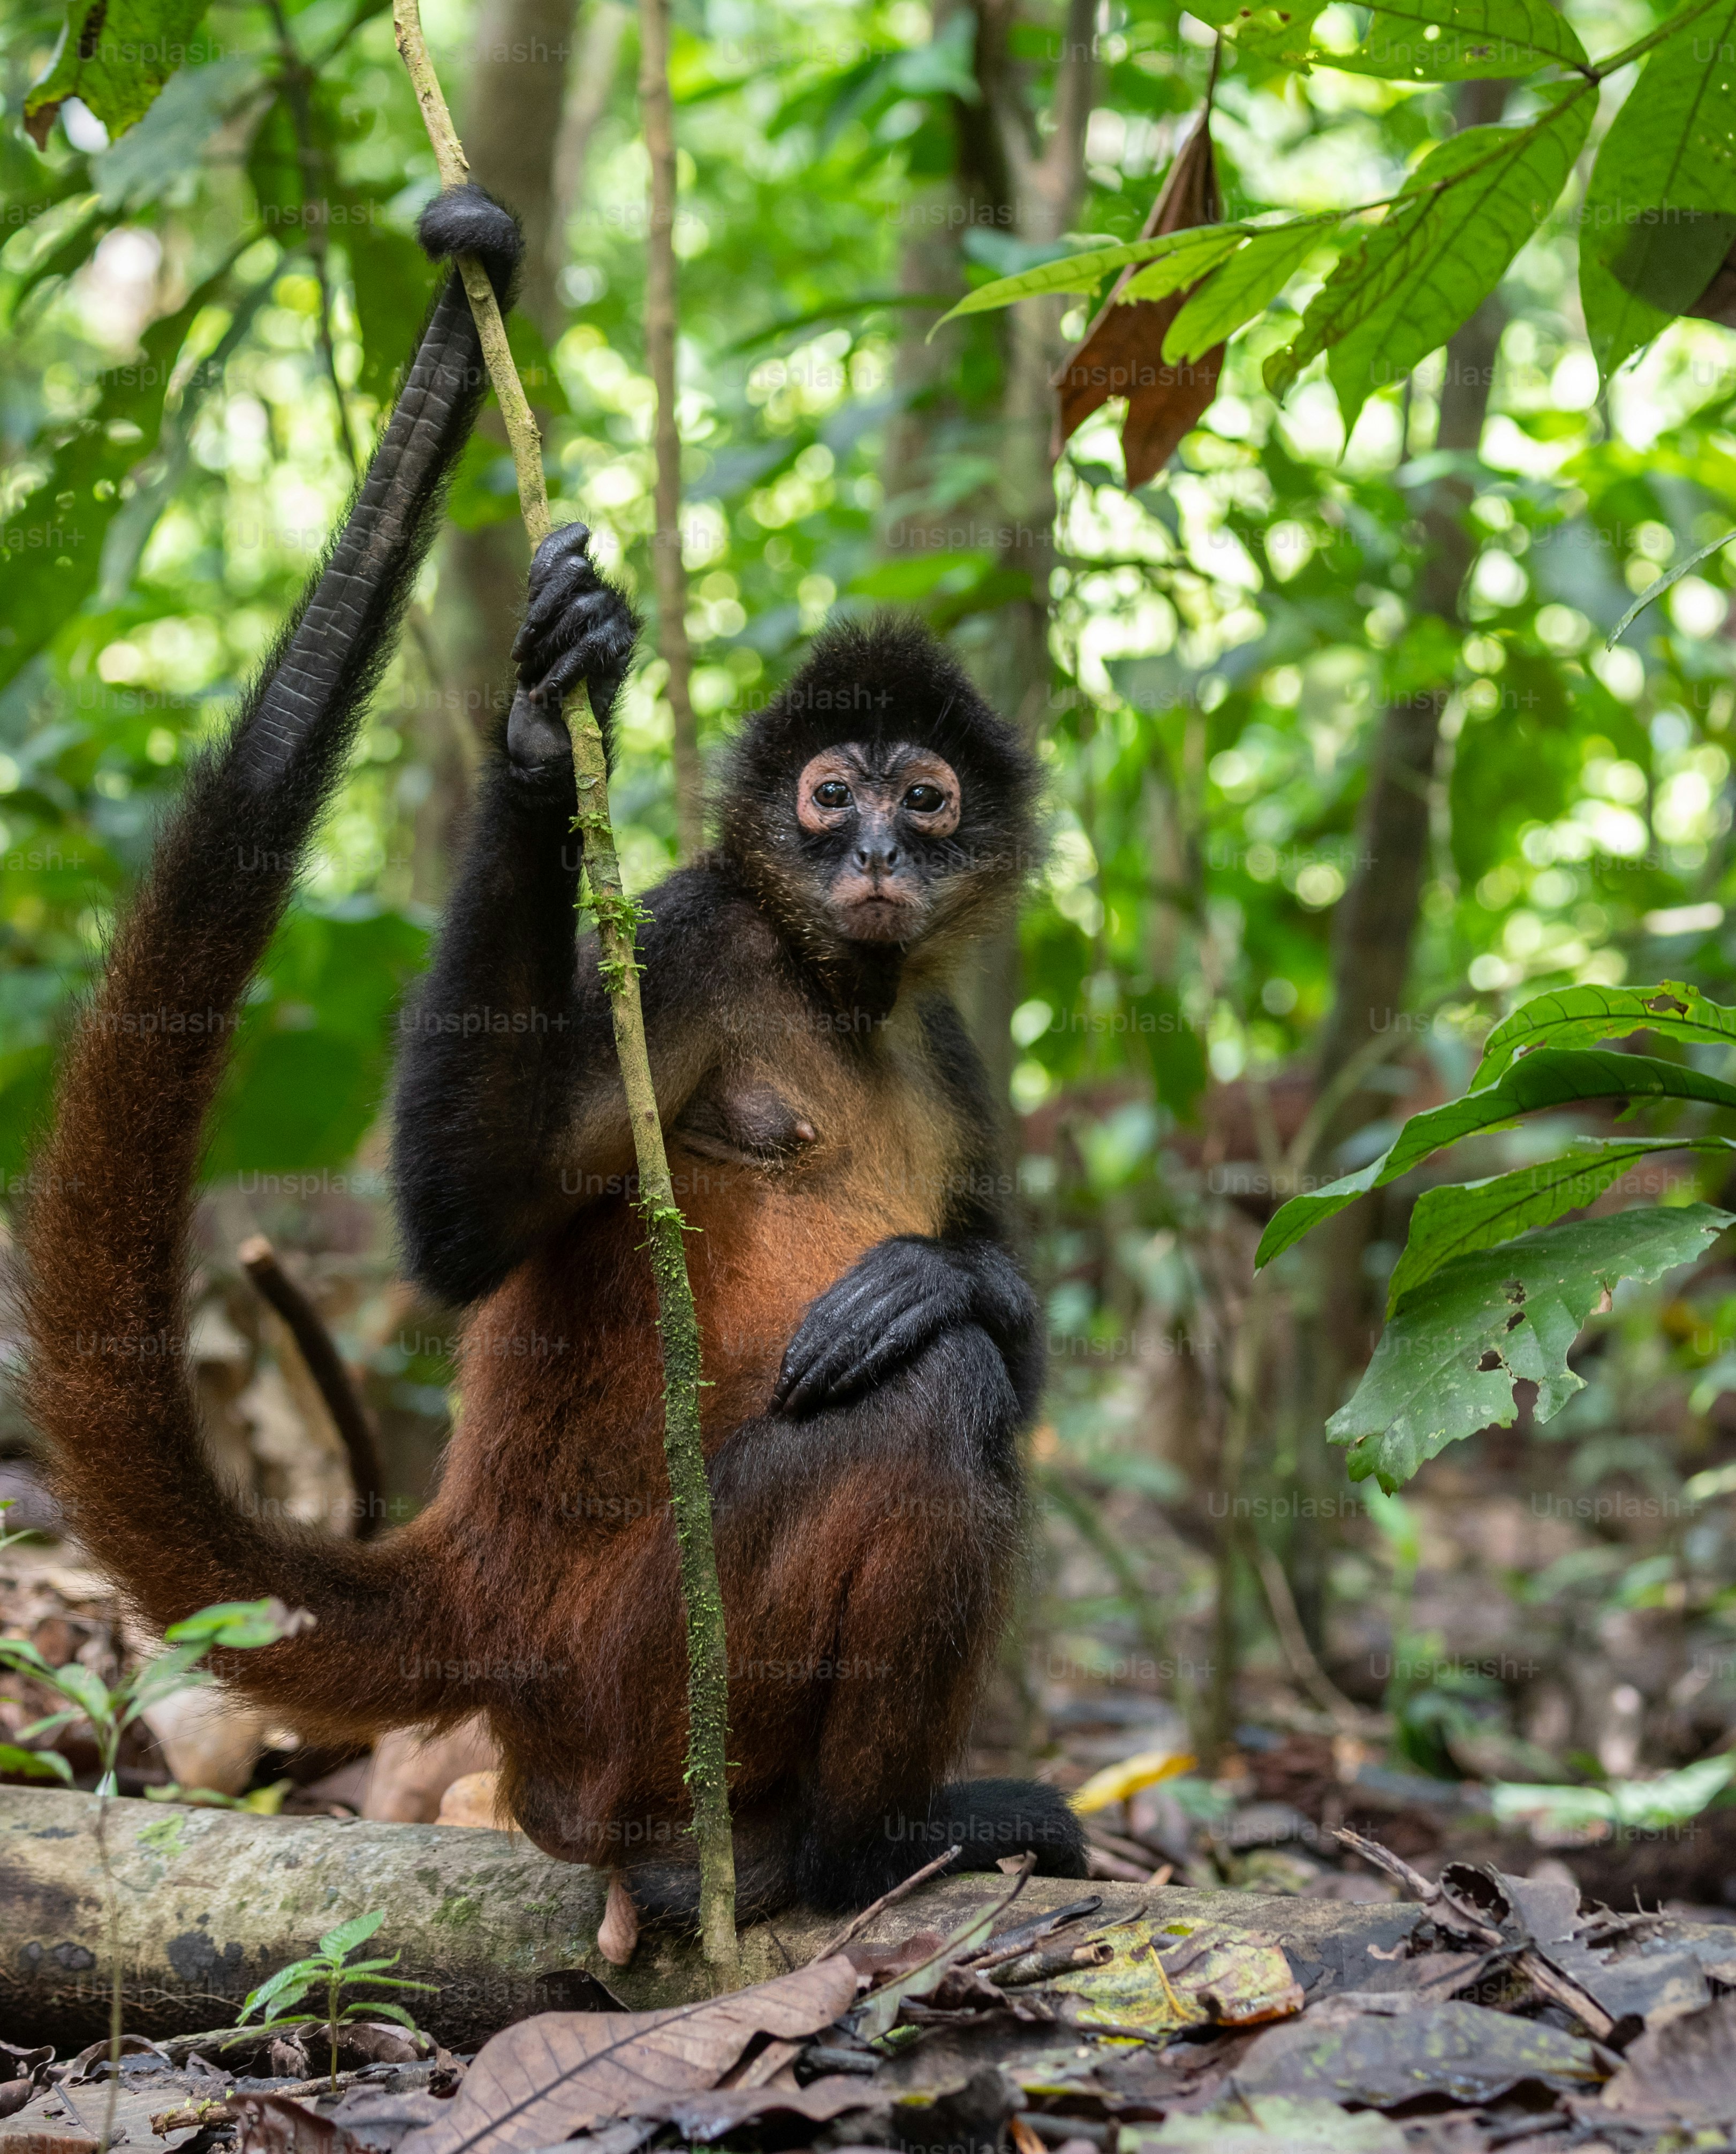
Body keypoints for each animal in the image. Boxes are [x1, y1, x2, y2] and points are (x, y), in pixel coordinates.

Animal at [21, 184, 1088, 1929]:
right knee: (935, 1399)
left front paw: (948, 1269)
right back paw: (846, 1845)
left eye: (924, 802)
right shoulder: (697, 940)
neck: (828, 983)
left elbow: (983, 1275)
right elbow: (471, 1216)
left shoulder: (935, 1030)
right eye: (828, 798)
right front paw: (539, 729)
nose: (875, 851)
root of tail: (486, 1582)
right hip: (644, 1663)